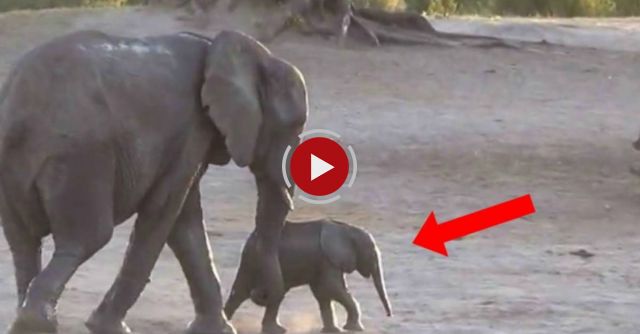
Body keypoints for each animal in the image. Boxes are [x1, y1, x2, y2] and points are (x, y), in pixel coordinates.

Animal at [0, 29, 308, 334]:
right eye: (293, 125)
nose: (276, 324)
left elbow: (185, 224)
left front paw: (217, 330)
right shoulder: (192, 127)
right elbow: (163, 214)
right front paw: (108, 328)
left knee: (24, 242)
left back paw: (24, 322)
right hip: (80, 156)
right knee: (86, 238)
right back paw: (36, 323)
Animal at [228, 218, 392, 332]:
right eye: (372, 254)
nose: (389, 315)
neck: (347, 228)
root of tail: (251, 238)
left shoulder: (323, 260)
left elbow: (323, 293)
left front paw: (333, 330)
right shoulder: (328, 259)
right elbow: (333, 288)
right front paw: (355, 329)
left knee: (246, 292)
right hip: (256, 261)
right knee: (254, 292)